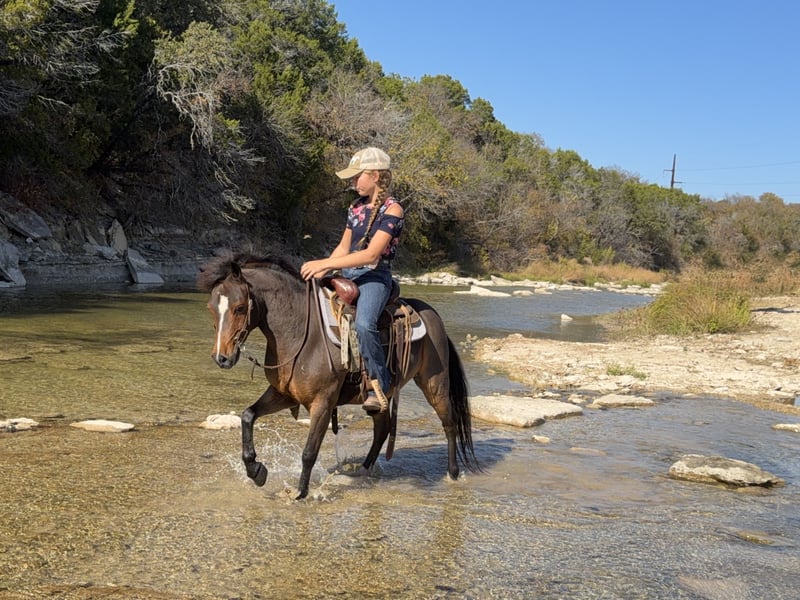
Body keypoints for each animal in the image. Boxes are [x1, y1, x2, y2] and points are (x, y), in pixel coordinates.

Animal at [197, 252, 478, 499]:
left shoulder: (323, 403)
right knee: (382, 429)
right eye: (211, 308)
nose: (221, 358)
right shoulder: (284, 395)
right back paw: (362, 471)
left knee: (449, 423)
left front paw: (299, 493)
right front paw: (256, 471)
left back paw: (453, 473)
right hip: (380, 397)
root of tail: (432, 315)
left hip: (434, 383)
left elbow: (309, 452)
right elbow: (247, 416)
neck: (300, 332)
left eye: (239, 308)